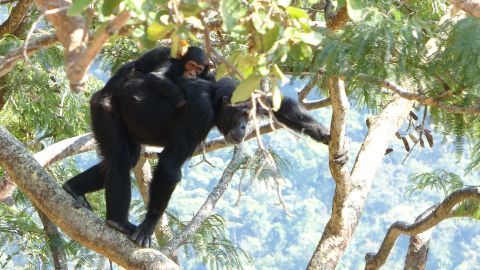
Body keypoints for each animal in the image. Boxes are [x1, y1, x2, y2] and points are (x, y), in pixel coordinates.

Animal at [64, 74, 348, 247]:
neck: (214, 98)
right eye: (241, 113)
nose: (244, 126)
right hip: (104, 110)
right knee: (121, 160)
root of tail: (102, 93)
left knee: (125, 157)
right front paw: (148, 227)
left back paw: (73, 187)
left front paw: (325, 135)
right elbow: (170, 166)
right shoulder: (199, 112)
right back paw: (118, 222)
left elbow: (280, 107)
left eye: (249, 114)